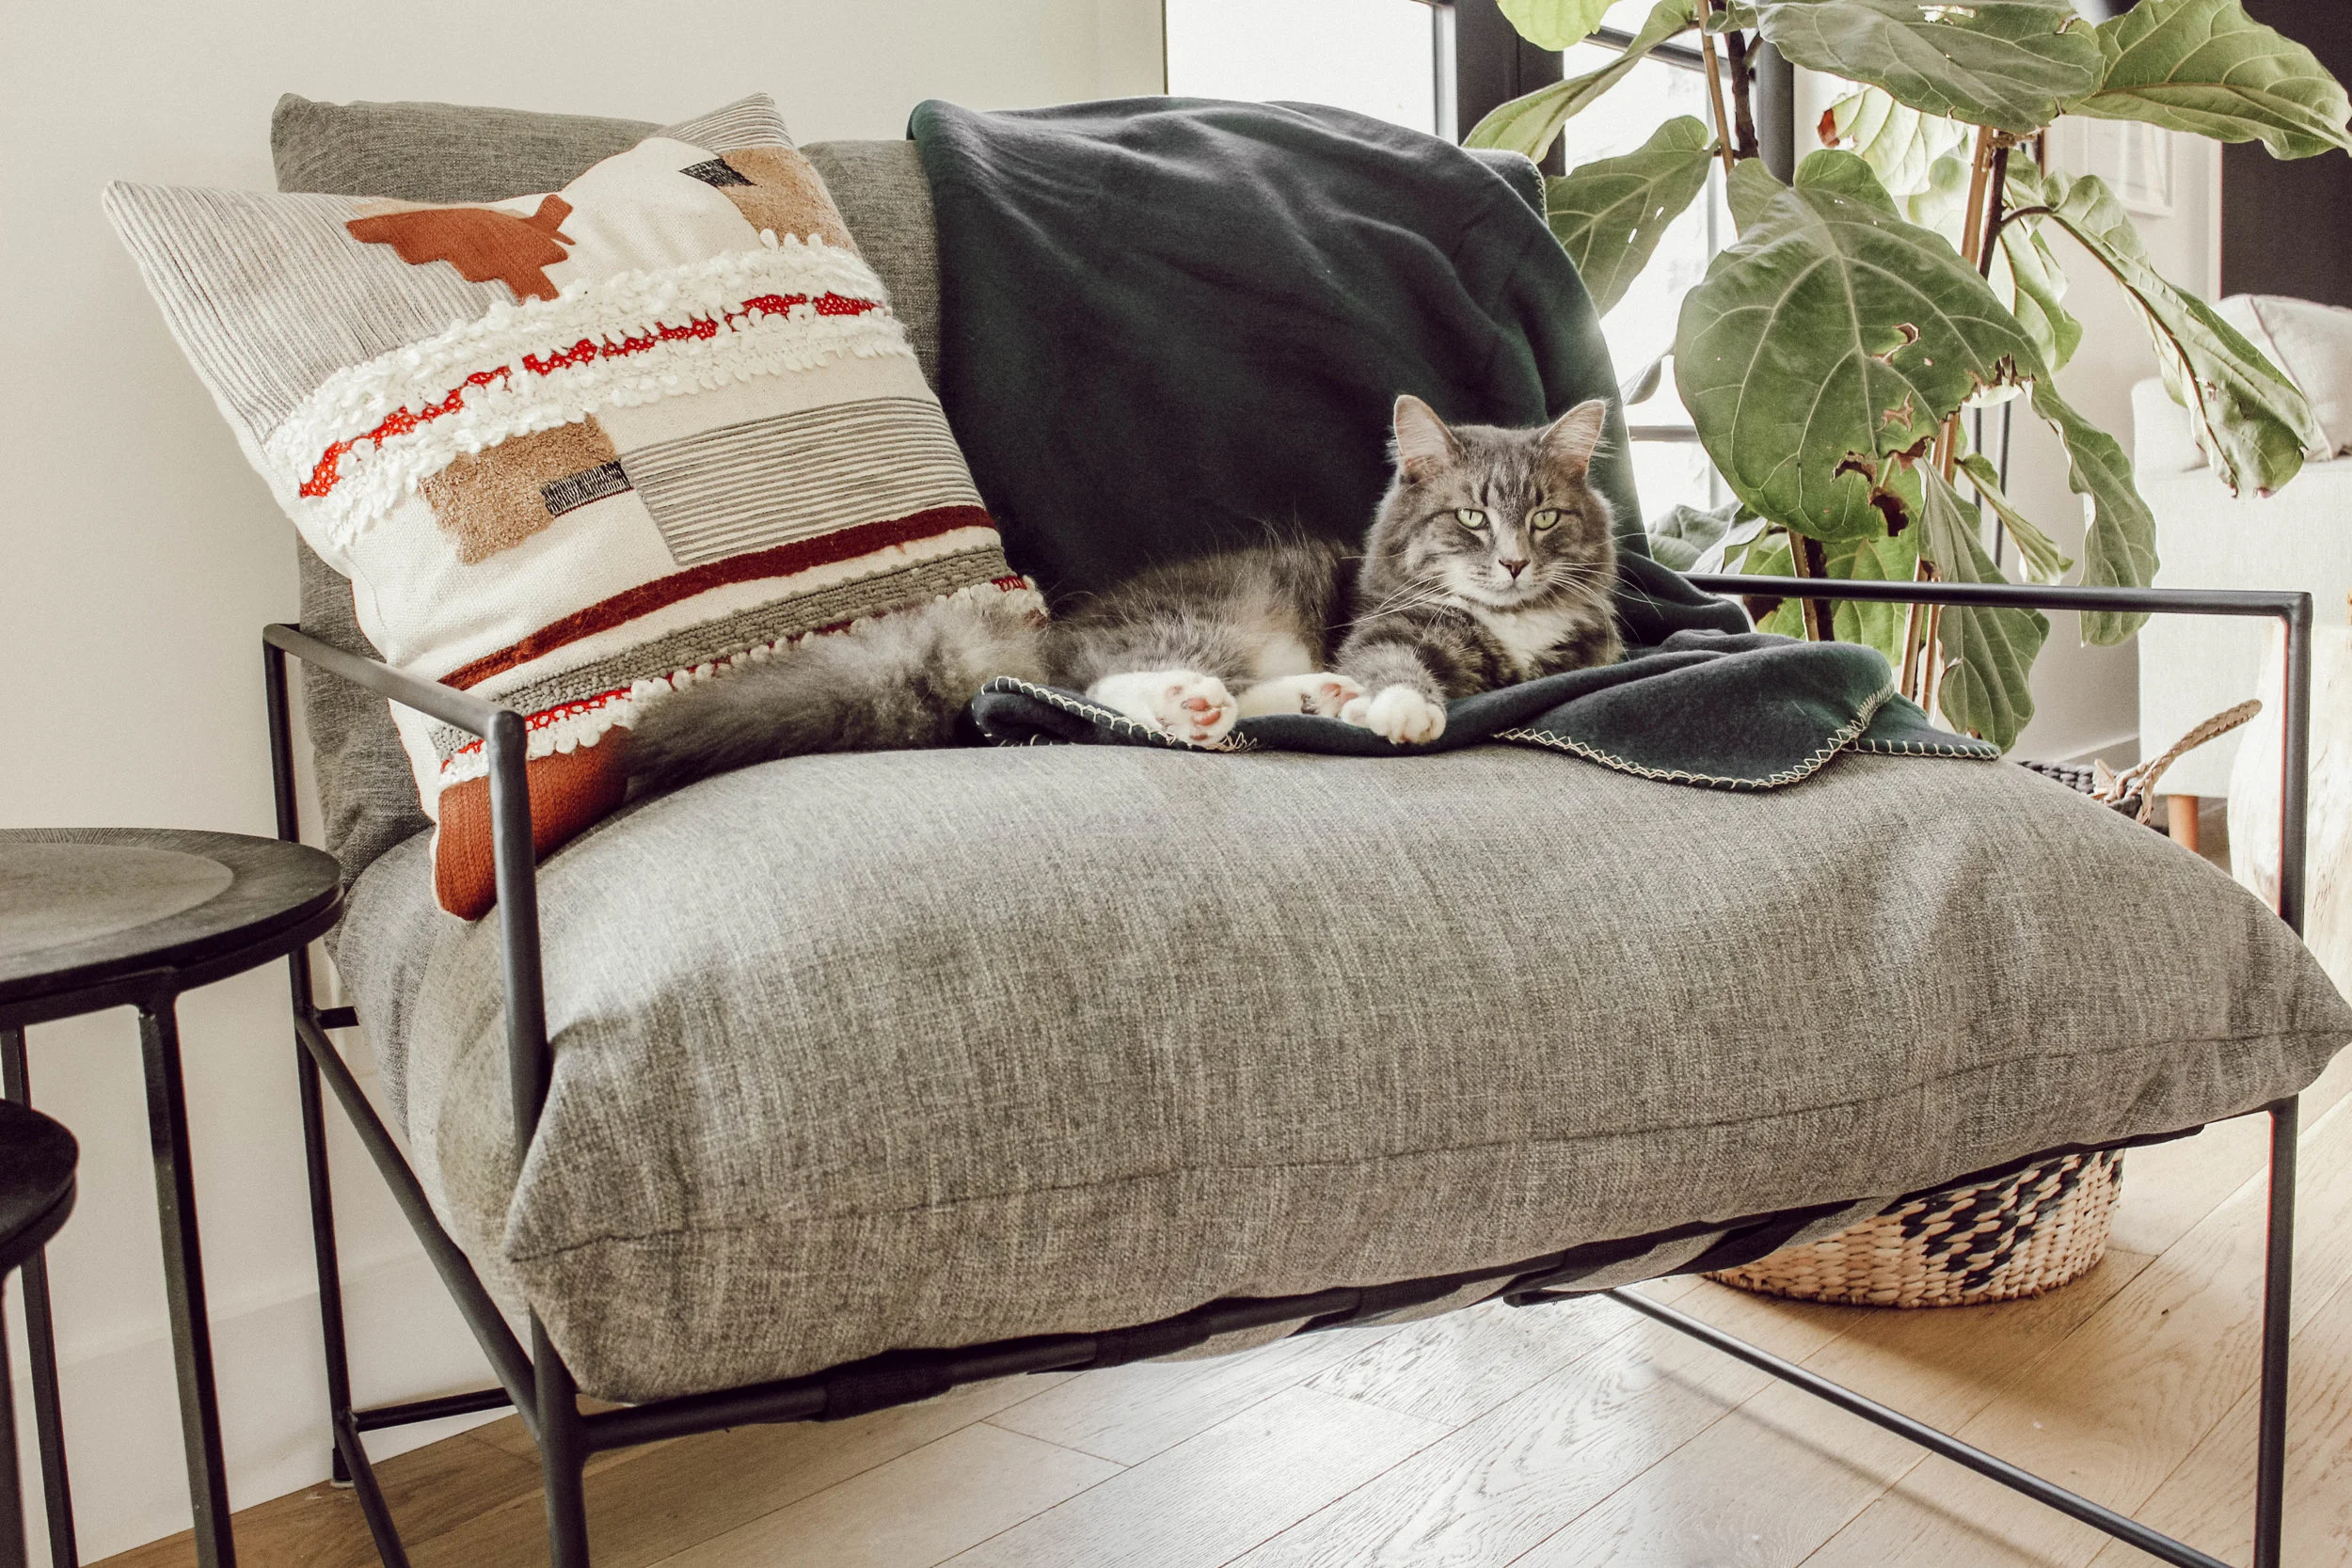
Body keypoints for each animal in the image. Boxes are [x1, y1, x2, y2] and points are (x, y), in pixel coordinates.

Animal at [623, 394, 1620, 790]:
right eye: (1470, 519)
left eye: (1544, 519)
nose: (1513, 564)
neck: (1507, 620)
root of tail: (1044, 633)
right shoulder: (1387, 626)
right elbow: (1400, 669)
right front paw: (1406, 711)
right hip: (1214, 618)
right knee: (1093, 686)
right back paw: (1196, 703)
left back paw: (1303, 699)